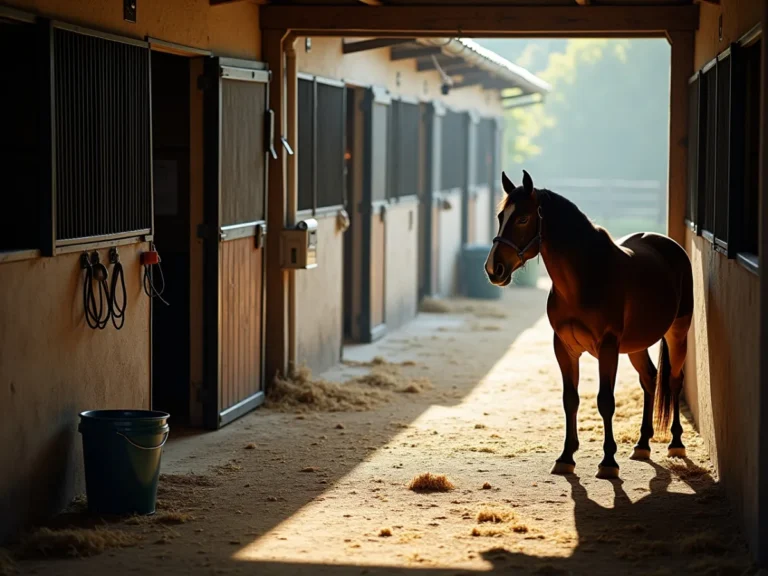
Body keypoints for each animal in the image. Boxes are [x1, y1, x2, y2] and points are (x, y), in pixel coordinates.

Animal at [485, 170, 693, 479]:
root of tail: (670, 246)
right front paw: (566, 457)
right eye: (501, 216)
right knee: (650, 379)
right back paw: (642, 444)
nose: (493, 269)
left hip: (677, 333)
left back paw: (676, 443)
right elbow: (570, 399)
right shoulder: (564, 348)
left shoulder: (607, 348)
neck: (585, 278)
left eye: (522, 218)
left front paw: (608, 461)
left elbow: (606, 401)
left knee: (673, 380)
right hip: (636, 345)